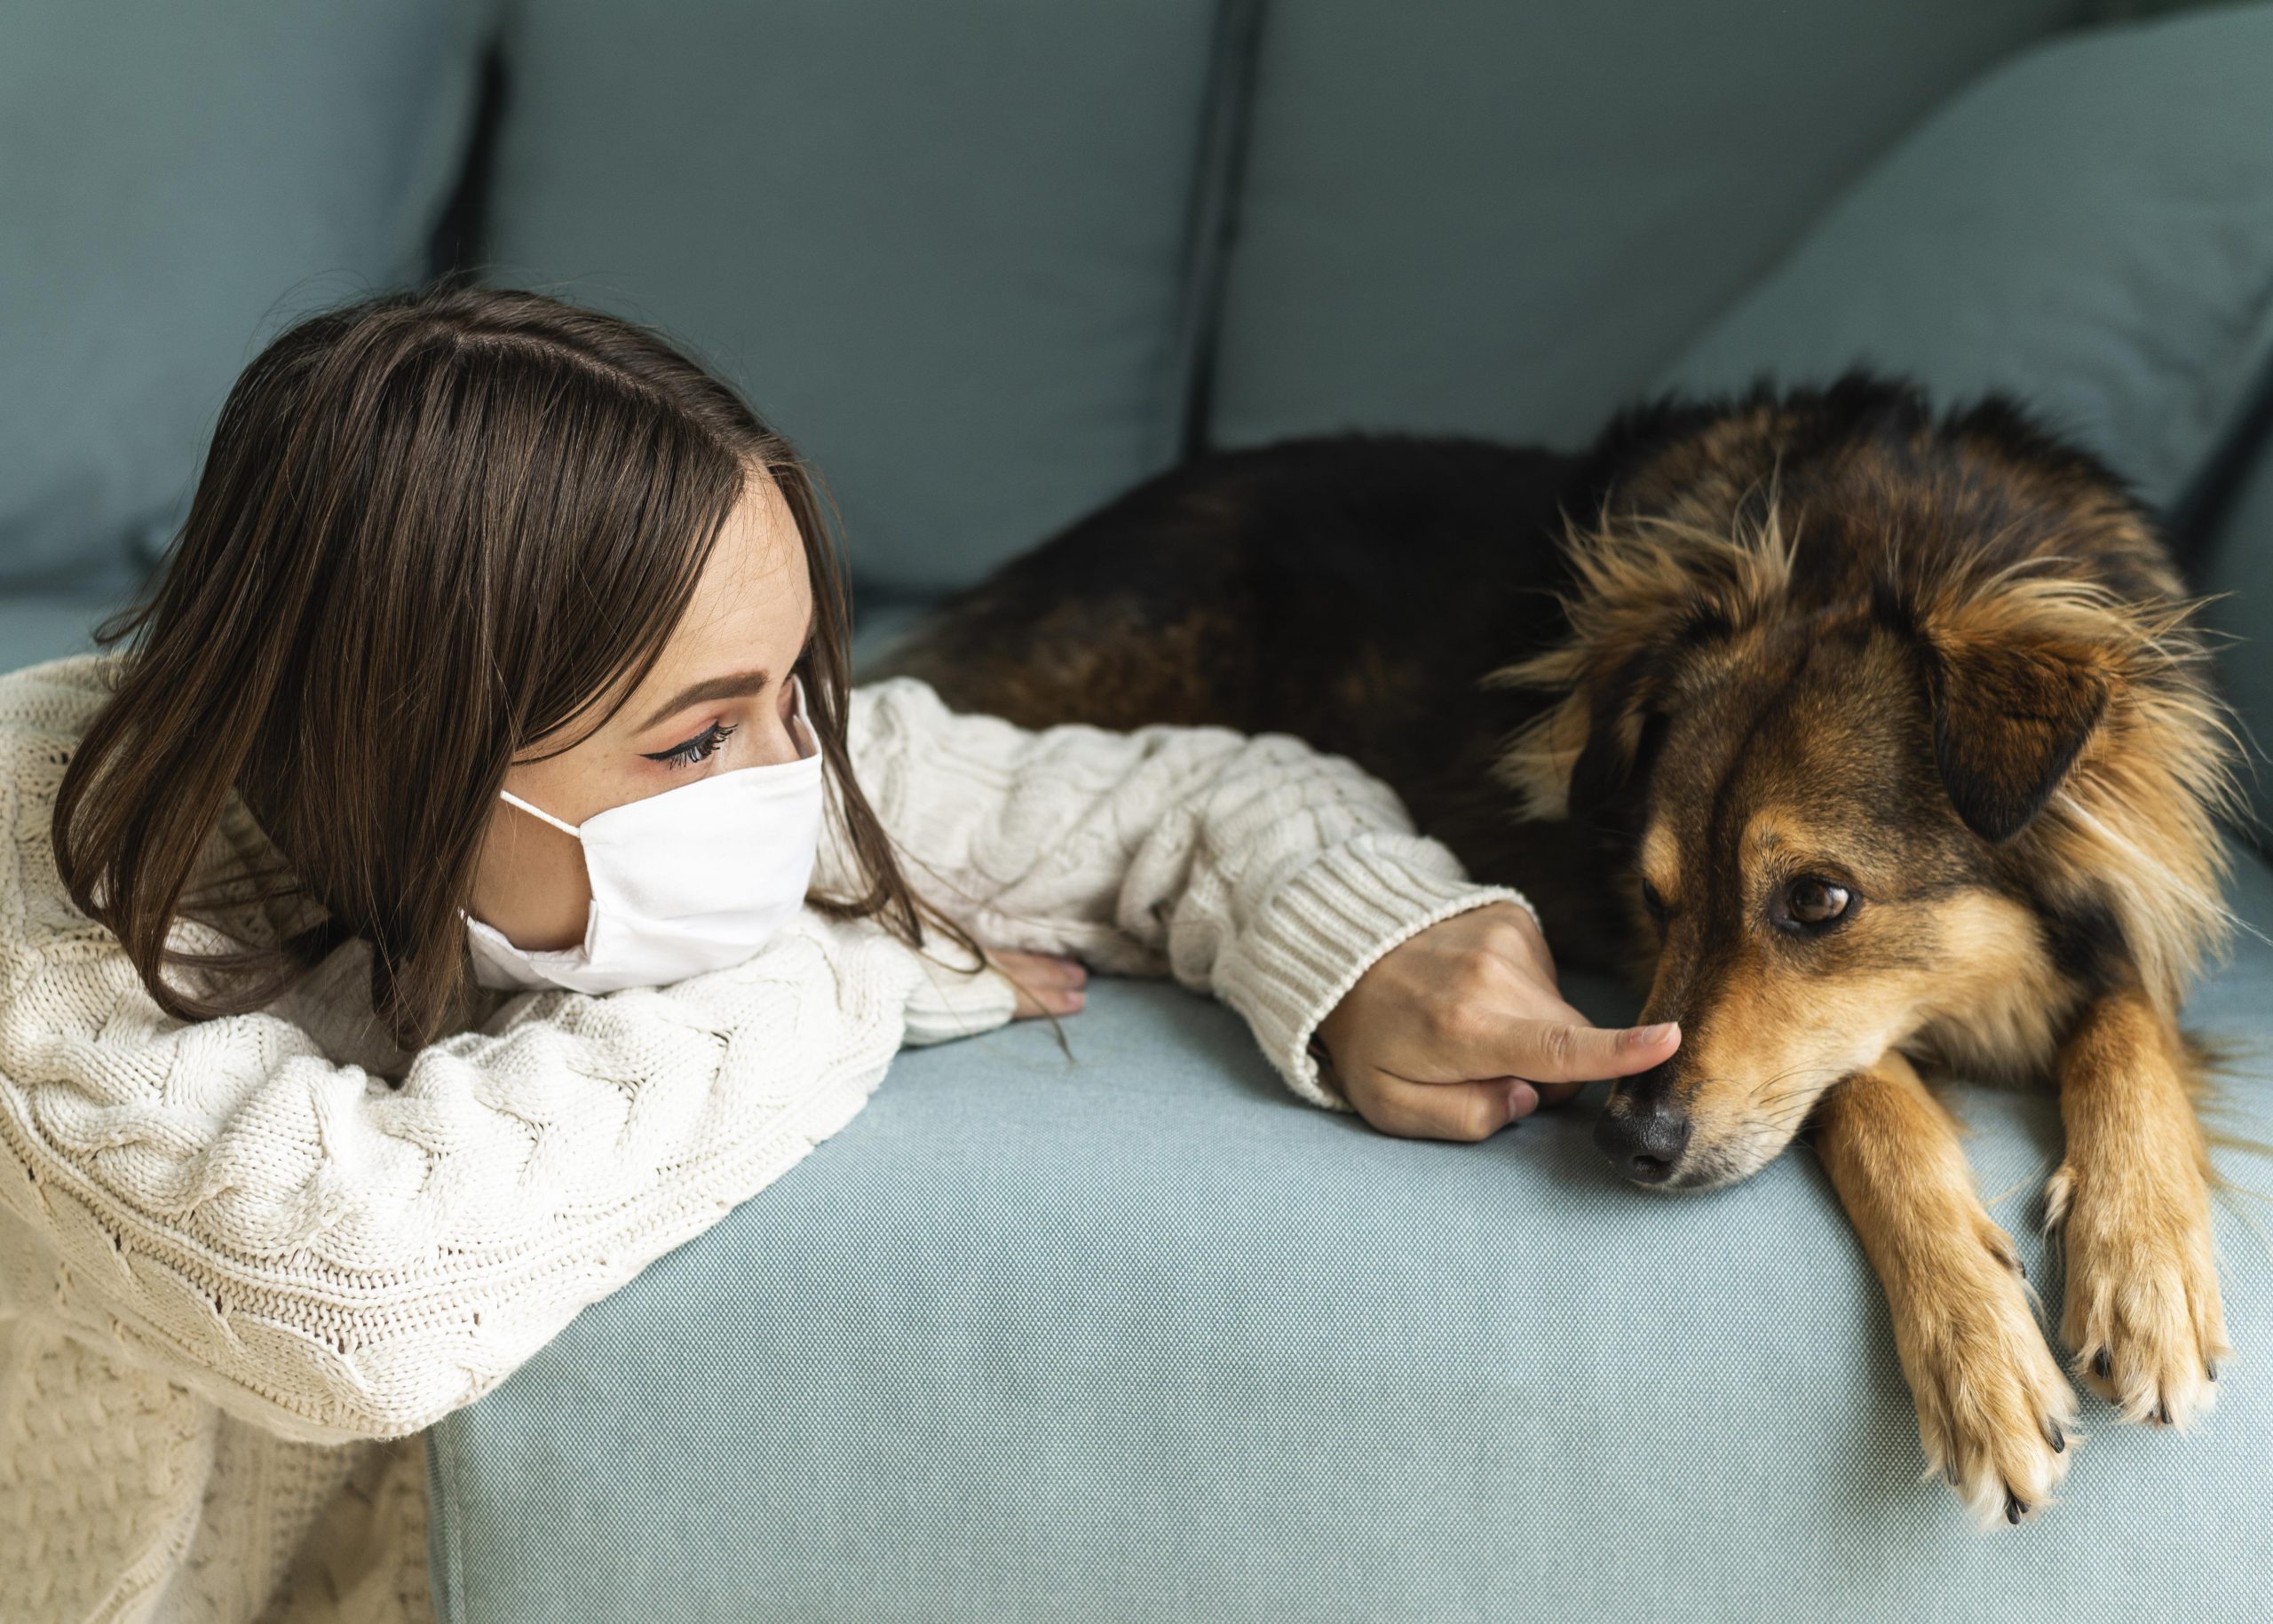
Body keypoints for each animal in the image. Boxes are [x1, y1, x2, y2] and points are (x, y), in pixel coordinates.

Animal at [877, 373, 2245, 1528]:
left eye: (1819, 899)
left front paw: (2143, 1267)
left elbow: (2126, 1026)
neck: (1880, 532)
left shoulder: (2127, 916)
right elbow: (1871, 1095)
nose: (1626, 1141)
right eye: (1651, 895)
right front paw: (1977, 1351)